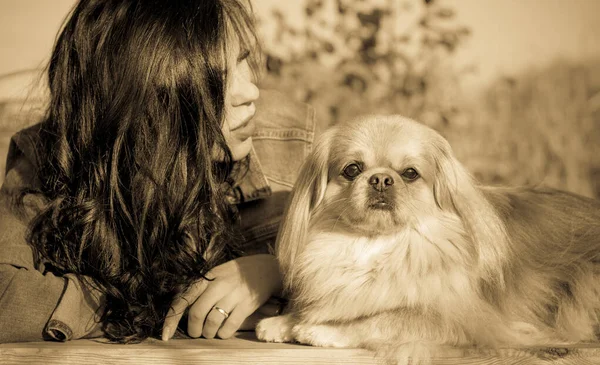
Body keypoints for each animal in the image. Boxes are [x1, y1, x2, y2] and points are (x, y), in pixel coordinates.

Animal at [255, 114, 600, 362]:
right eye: (352, 169)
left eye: (410, 173)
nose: (381, 179)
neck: (380, 245)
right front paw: (284, 321)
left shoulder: (468, 323)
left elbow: (389, 316)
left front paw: (319, 328)